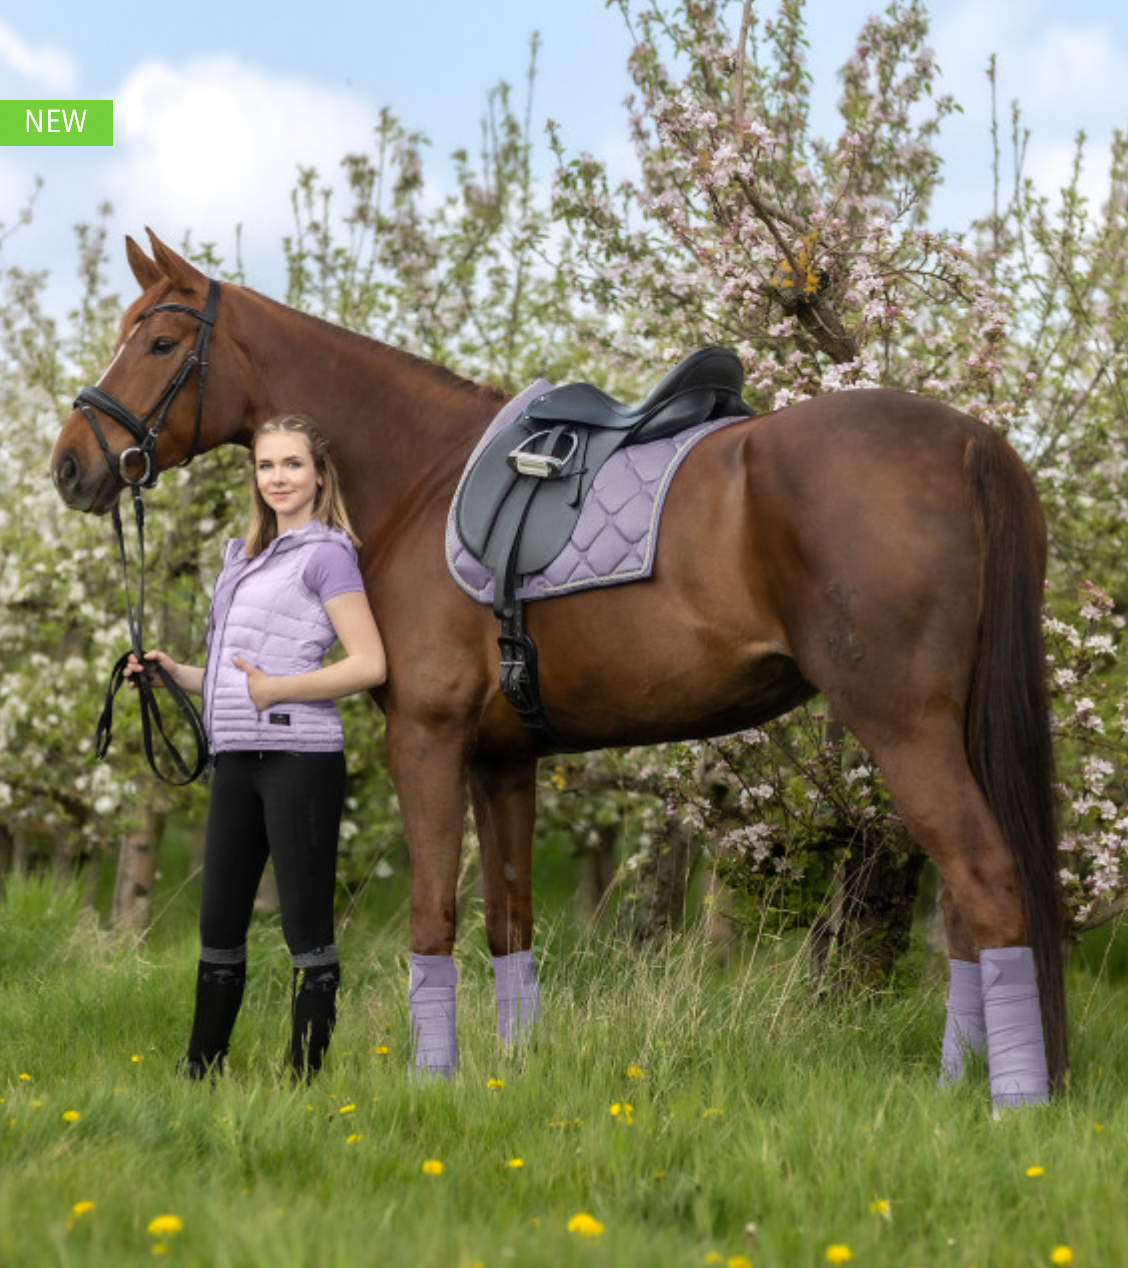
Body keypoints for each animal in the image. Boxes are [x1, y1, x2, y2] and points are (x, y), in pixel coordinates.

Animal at [46, 233, 1064, 1105]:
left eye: (162, 341)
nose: (70, 466)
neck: (420, 476)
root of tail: (969, 442)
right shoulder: (505, 760)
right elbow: (510, 922)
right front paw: (510, 1071)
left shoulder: (428, 740)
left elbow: (433, 917)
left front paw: (434, 1082)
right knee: (968, 904)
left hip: (904, 725)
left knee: (985, 880)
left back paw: (1007, 1102)